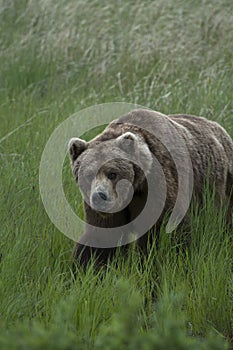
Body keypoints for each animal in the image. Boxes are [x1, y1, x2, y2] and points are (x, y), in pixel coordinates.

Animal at [68, 108, 232, 266]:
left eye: (112, 174)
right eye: (88, 175)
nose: (99, 196)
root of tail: (219, 128)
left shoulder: (159, 187)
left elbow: (165, 231)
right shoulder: (106, 212)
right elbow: (101, 237)